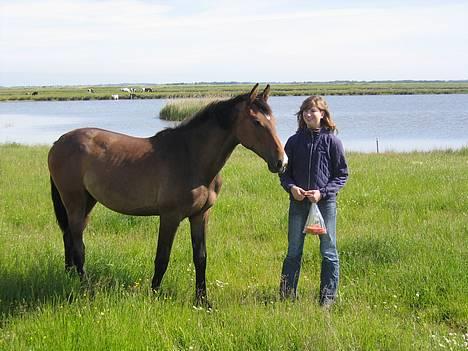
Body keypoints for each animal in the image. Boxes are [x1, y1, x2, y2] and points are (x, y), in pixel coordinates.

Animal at [48, 84, 286, 306]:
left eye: (273, 120)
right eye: (256, 122)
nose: (281, 162)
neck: (191, 158)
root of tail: (58, 142)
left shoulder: (200, 215)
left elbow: (200, 257)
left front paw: (202, 300)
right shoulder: (170, 217)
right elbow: (162, 258)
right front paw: (154, 294)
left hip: (88, 201)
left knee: (69, 236)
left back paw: (69, 276)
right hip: (75, 201)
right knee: (77, 244)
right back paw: (86, 288)